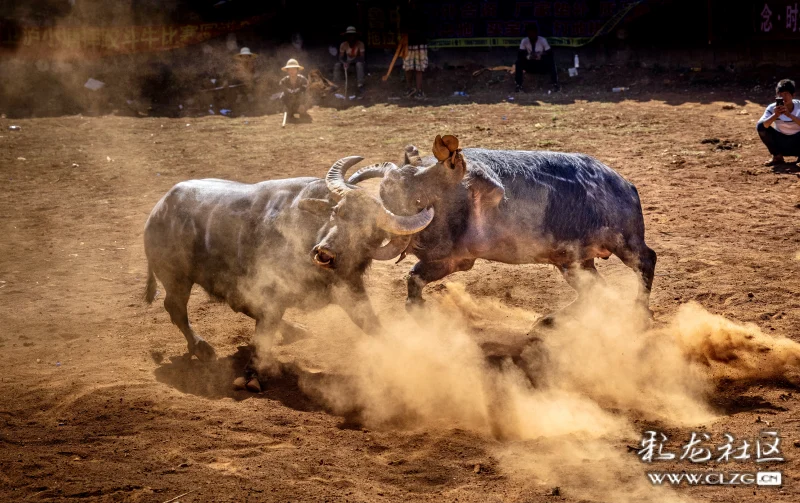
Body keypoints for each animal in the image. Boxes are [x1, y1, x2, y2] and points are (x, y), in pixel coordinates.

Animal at [141, 156, 434, 392]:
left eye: (370, 230)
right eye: (337, 212)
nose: (325, 253)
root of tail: (159, 209)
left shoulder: (350, 289)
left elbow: (372, 325)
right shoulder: (271, 292)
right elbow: (262, 336)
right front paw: (251, 376)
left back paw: (294, 330)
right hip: (176, 277)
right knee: (175, 308)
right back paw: (201, 346)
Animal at [350, 135, 656, 322]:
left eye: (415, 199)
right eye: (384, 195)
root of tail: (626, 186)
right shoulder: (451, 260)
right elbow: (414, 278)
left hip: (624, 242)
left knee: (646, 261)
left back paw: (640, 313)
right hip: (575, 262)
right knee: (595, 290)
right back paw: (547, 321)